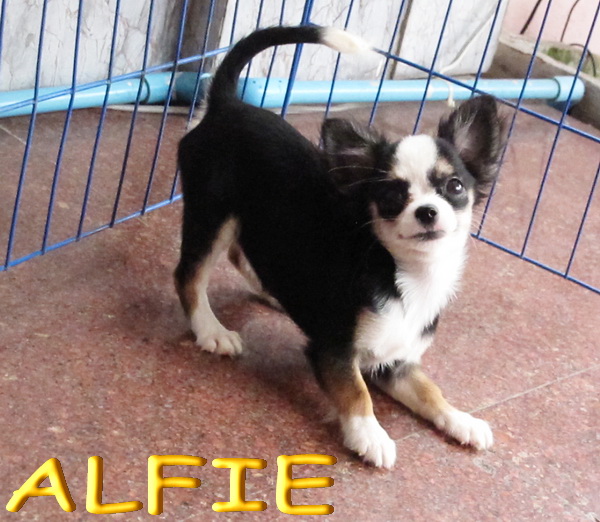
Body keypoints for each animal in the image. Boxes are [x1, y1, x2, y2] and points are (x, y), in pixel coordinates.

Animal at [175, 25, 505, 468]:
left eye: (454, 187)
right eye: (392, 197)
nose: (427, 212)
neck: (408, 276)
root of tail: (226, 104)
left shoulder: (395, 362)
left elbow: (430, 390)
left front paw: (461, 420)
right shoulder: (334, 349)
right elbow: (355, 391)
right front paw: (370, 435)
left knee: (240, 253)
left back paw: (273, 294)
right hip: (213, 214)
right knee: (189, 275)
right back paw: (211, 330)